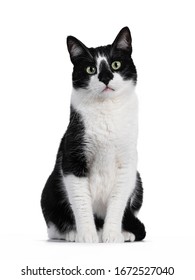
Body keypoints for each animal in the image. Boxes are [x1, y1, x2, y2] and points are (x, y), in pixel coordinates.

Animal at [40, 26, 145, 243]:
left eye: (115, 64)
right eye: (91, 69)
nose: (105, 78)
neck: (106, 111)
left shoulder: (127, 164)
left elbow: (117, 202)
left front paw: (112, 235)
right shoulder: (73, 156)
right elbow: (80, 200)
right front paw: (87, 235)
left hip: (138, 181)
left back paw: (123, 232)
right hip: (49, 189)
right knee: (53, 227)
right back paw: (71, 232)